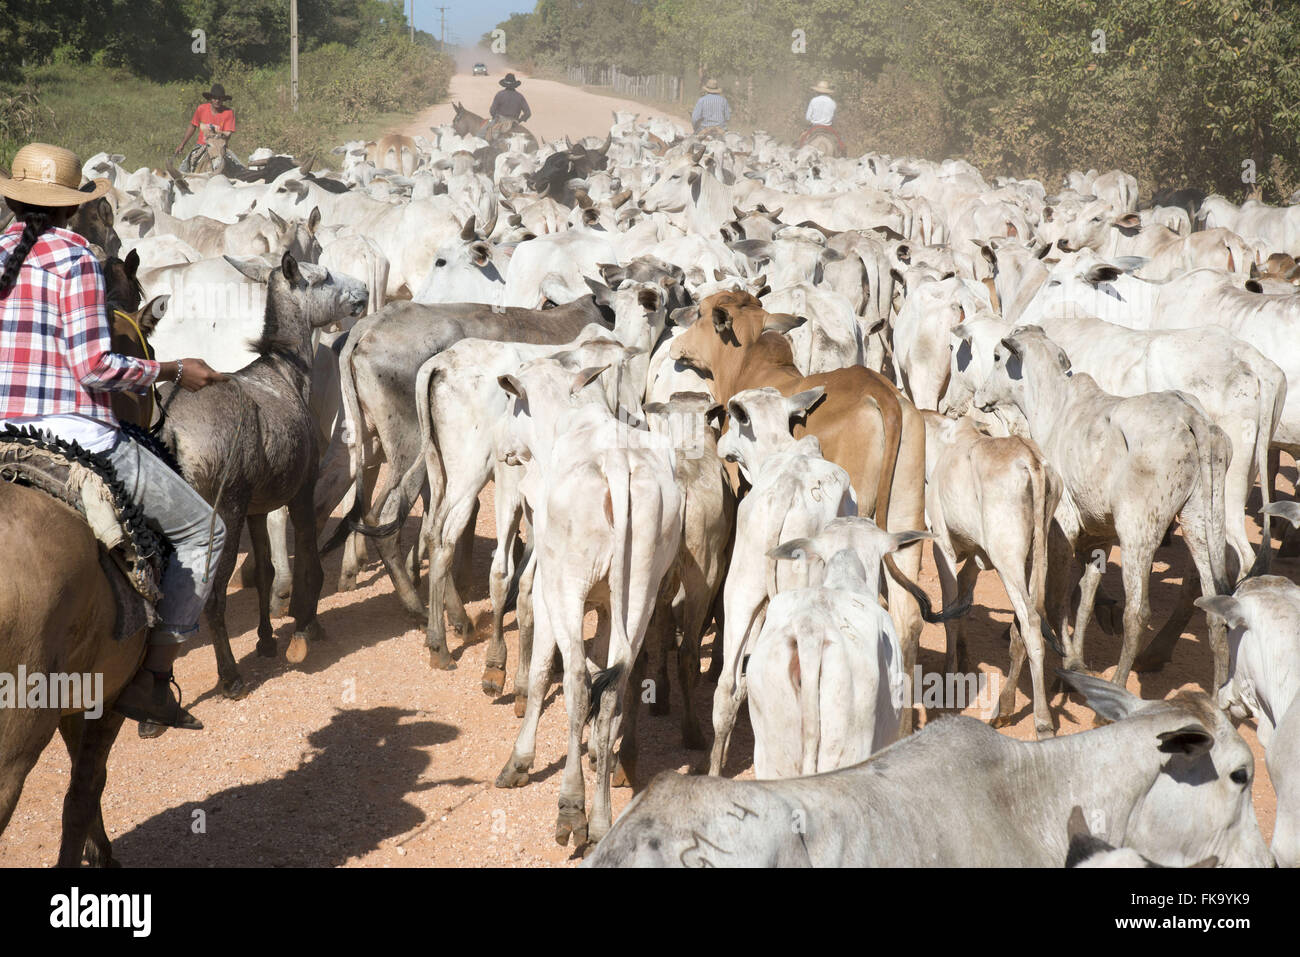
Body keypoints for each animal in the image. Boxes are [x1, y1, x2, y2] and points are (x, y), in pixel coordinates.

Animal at [162, 248, 369, 696]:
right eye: (323, 275)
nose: (362, 291)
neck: (288, 372)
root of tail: (171, 432)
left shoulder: (258, 506)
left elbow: (266, 570)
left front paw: (266, 640)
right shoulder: (301, 489)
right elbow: (308, 560)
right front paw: (306, 628)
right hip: (222, 511)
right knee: (212, 596)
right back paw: (229, 676)